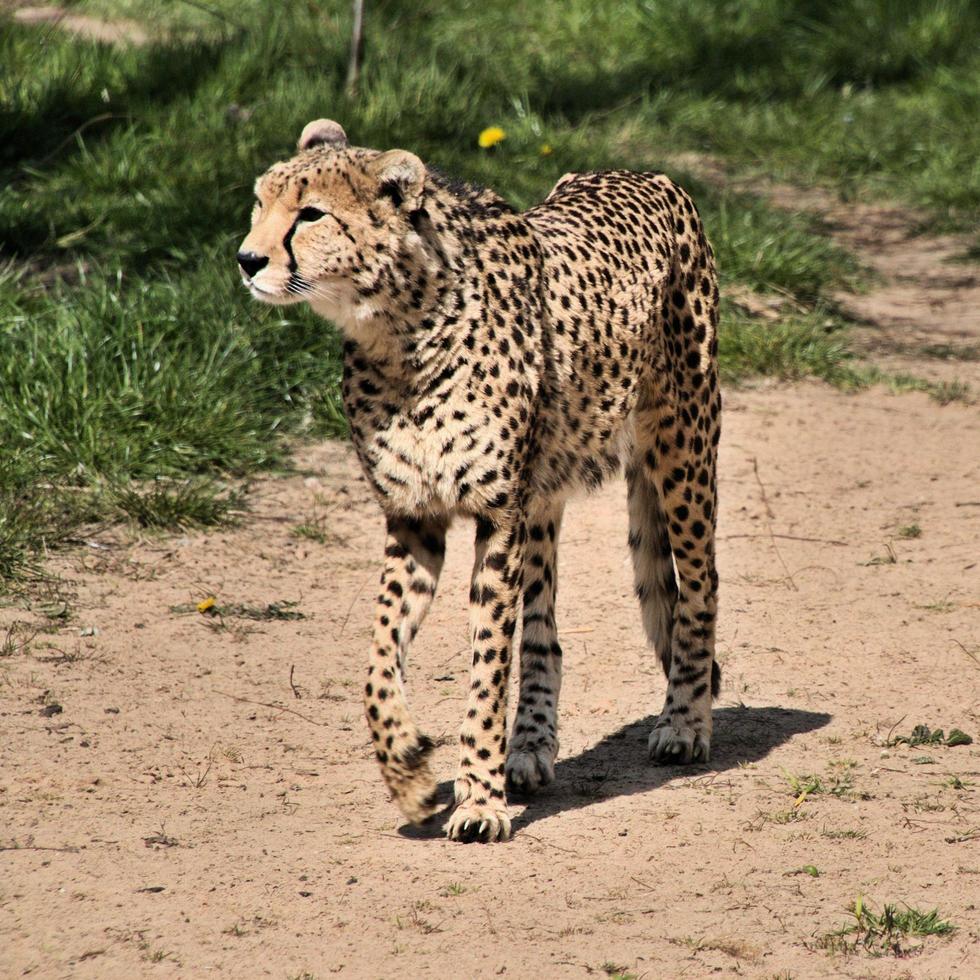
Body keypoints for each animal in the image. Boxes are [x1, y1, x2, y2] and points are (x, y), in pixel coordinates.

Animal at [241, 120, 724, 844]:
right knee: (545, 632)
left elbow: (487, 665)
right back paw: (529, 749)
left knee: (698, 586)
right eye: (260, 202)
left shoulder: (495, 517)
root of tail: (646, 174)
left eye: (311, 214)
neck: (398, 333)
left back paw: (685, 722)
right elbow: (379, 660)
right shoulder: (415, 517)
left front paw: (479, 801)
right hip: (545, 494)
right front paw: (410, 773)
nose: (247, 259)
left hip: (682, 449)